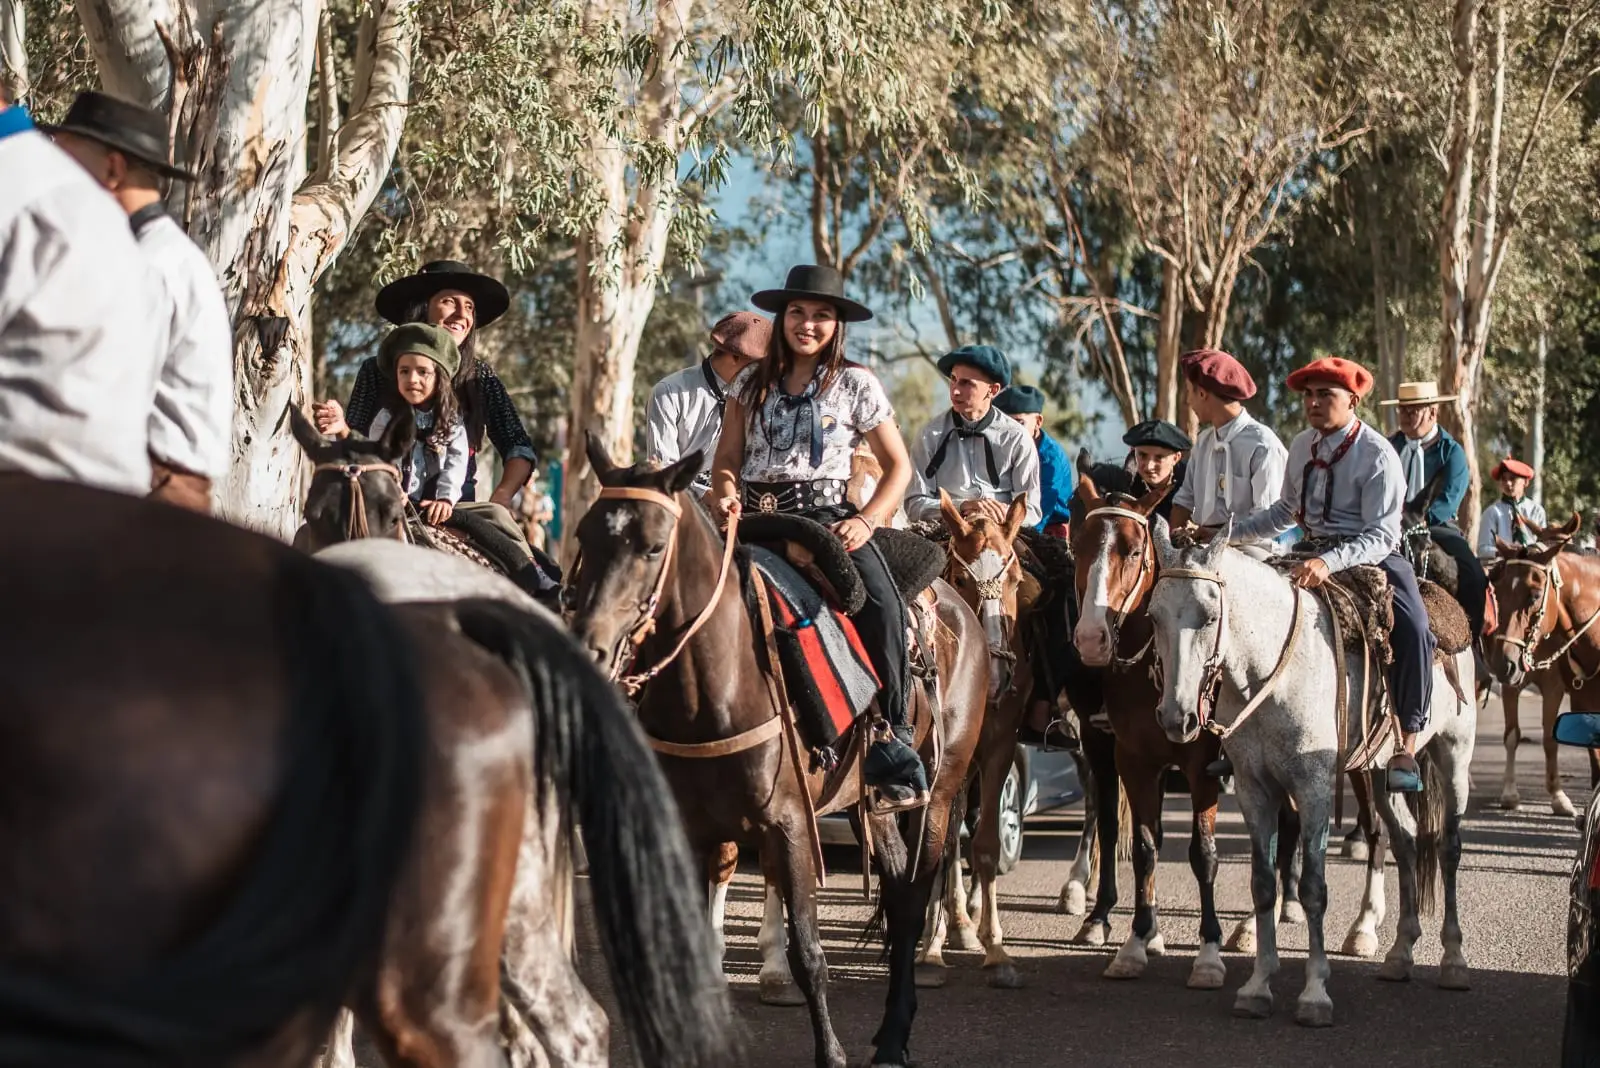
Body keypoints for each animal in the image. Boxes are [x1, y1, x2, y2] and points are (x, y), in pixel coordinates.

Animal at [565, 437, 987, 1068]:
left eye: (653, 547)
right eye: (585, 536)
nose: (589, 646)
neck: (718, 682)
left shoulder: (788, 824)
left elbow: (808, 953)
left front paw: (830, 1052)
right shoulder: (693, 826)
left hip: (939, 793)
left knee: (913, 901)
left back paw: (893, 1036)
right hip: (870, 807)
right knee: (894, 886)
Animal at [1069, 479, 1302, 988]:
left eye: (1134, 551)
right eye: (1077, 546)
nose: (1091, 639)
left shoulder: (1202, 768)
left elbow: (1204, 854)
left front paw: (1208, 953)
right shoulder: (1134, 761)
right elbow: (1144, 847)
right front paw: (1137, 941)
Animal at [1146, 524, 1477, 1026]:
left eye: (1208, 616)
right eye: (1153, 616)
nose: (1174, 717)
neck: (1270, 673)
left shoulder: (1314, 789)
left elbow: (1313, 889)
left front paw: (1315, 994)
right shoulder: (1254, 789)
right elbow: (1263, 883)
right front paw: (1258, 985)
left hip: (1454, 751)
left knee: (1447, 847)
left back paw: (1454, 960)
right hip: (1378, 773)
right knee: (1405, 840)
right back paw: (1399, 954)